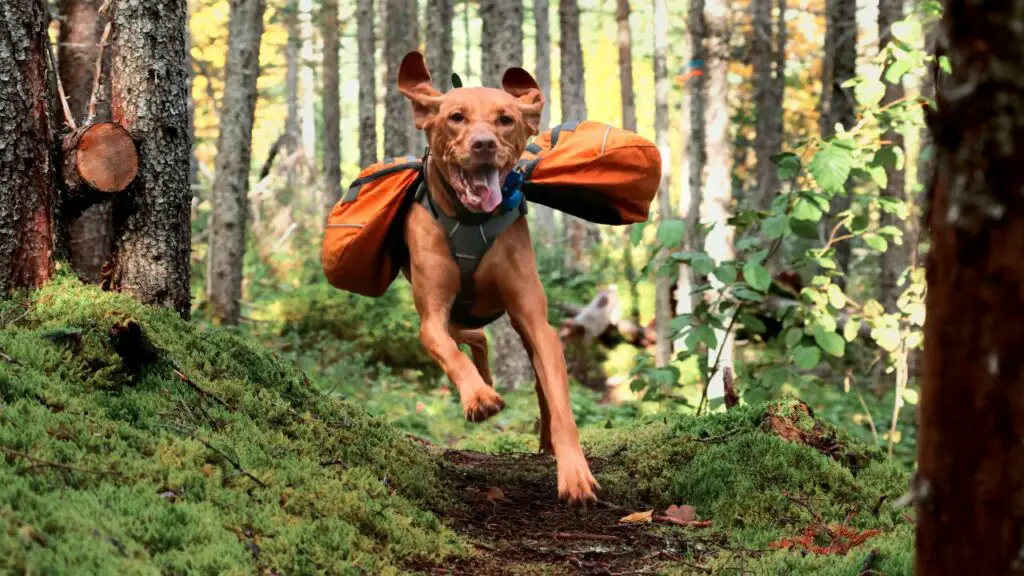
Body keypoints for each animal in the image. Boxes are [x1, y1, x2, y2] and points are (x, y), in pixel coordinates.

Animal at [393, 52, 598, 502]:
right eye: (455, 117)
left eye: (505, 119)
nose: (484, 144)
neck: (471, 218)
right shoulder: (432, 316)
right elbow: (446, 350)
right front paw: (478, 398)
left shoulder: (535, 320)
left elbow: (560, 401)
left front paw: (574, 471)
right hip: (451, 313)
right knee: (471, 338)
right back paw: (483, 384)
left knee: (529, 375)